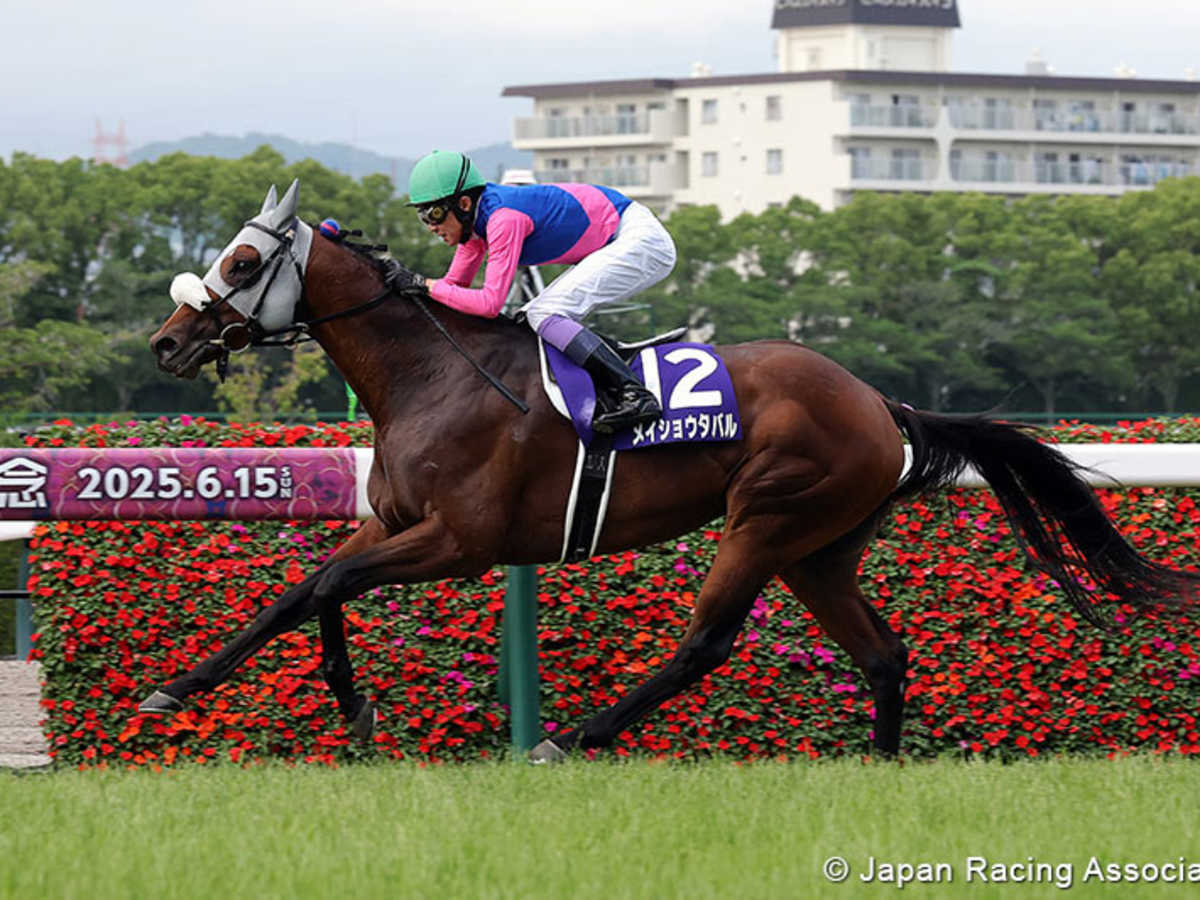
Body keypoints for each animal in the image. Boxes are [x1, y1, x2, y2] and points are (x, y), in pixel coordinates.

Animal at [145, 180, 1198, 761]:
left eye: (242, 263)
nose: (166, 342)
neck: (432, 375)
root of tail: (880, 403)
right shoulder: (394, 525)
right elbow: (308, 590)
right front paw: (191, 688)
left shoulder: (461, 542)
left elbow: (327, 585)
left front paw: (350, 709)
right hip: (819, 549)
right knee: (882, 653)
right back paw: (880, 767)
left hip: (767, 519)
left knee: (705, 643)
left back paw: (570, 739)